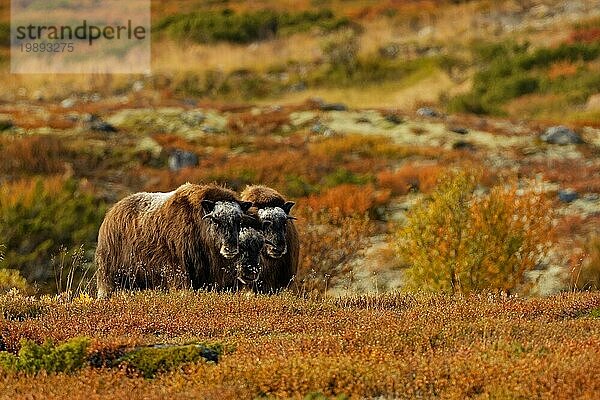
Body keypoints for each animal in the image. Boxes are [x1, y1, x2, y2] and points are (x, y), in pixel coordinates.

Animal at [93, 184, 251, 296]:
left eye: (238, 221)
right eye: (215, 220)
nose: (231, 248)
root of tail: (110, 214)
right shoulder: (180, 271)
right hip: (111, 275)